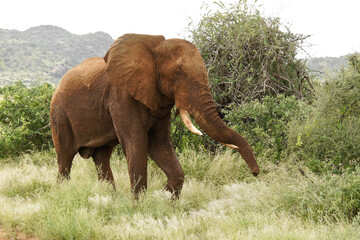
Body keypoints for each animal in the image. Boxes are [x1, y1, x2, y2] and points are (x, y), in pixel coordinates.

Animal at [50, 33, 258, 199]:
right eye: (178, 73)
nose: (256, 173)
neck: (155, 48)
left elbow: (159, 144)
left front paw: (165, 199)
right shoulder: (121, 96)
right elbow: (137, 141)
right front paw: (139, 208)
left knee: (102, 158)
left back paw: (109, 198)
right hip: (59, 114)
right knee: (65, 158)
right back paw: (63, 195)